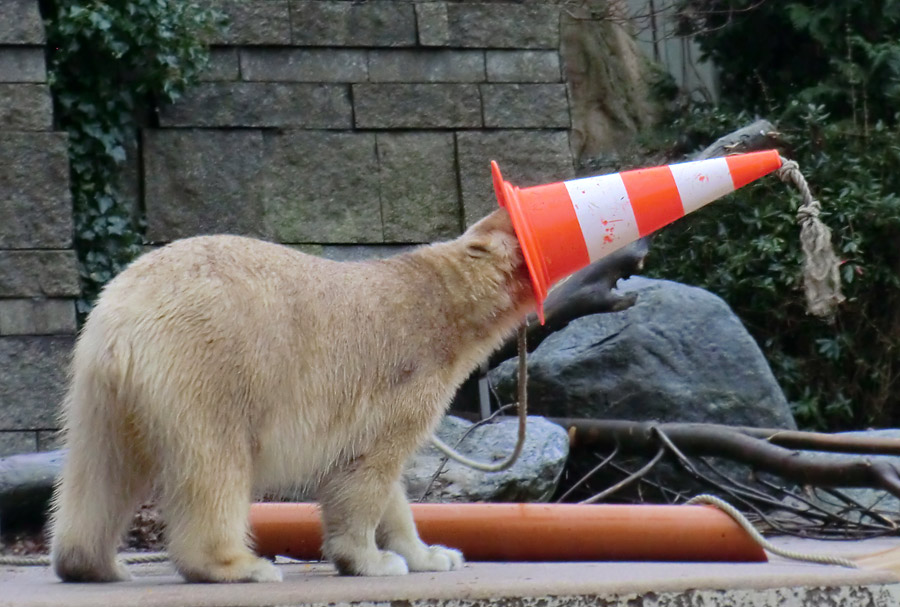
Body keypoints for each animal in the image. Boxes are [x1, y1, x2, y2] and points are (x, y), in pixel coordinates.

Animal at [49, 209, 536, 584]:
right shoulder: (406, 374)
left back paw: (92, 564)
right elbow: (367, 467)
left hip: (96, 387)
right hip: (208, 365)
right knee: (215, 465)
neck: (445, 298)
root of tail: (123, 318)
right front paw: (371, 560)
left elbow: (384, 484)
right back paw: (240, 566)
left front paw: (433, 555)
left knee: (100, 469)